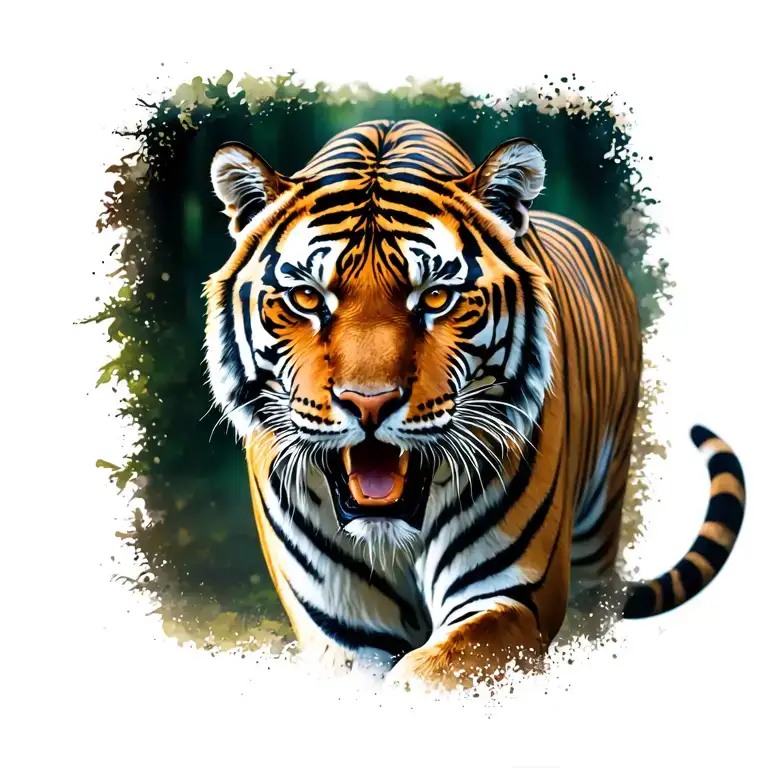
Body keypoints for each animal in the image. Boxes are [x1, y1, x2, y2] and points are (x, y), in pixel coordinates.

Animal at [203, 118, 746, 689]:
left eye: (436, 297)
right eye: (307, 298)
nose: (369, 404)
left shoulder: (510, 594)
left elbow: (433, 673)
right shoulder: (343, 628)